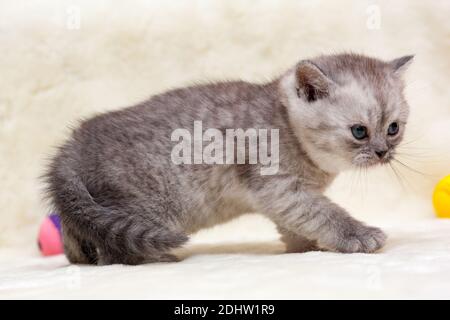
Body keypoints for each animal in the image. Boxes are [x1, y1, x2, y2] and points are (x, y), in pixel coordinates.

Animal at [44, 53, 414, 264]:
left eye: (393, 128)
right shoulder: (280, 188)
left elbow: (300, 223)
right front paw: (356, 236)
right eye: (359, 132)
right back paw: (152, 258)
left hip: (94, 210)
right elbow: (324, 213)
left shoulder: (286, 198)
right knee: (110, 252)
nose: (383, 152)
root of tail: (72, 144)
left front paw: (306, 248)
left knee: (79, 239)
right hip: (142, 205)